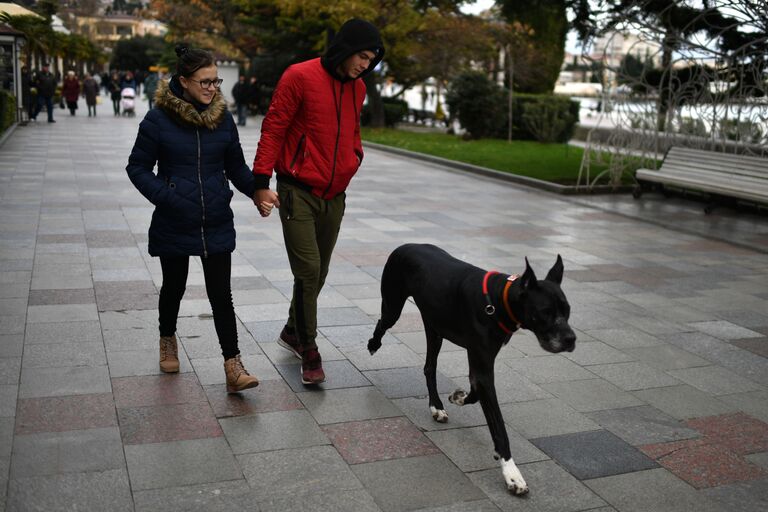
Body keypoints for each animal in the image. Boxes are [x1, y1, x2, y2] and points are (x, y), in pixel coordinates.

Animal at [368, 244, 576, 496]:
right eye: (545, 312)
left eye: (567, 310)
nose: (571, 339)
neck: (498, 300)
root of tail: (406, 245)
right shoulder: (482, 364)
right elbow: (498, 425)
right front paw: (512, 473)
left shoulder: (481, 364)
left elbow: (475, 392)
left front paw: (458, 397)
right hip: (393, 304)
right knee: (383, 323)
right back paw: (373, 344)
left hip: (435, 326)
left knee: (429, 367)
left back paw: (436, 406)